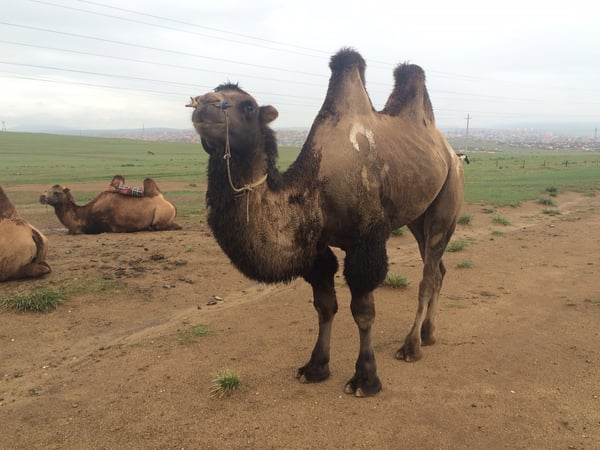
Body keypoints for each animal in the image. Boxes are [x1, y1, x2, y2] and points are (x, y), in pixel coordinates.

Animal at [39, 178, 180, 234]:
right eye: (48, 189)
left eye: (56, 192)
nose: (41, 196)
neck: (82, 215)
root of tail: (170, 204)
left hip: (161, 216)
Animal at [186, 47, 464, 396]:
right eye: (209, 94)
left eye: (248, 106)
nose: (204, 104)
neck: (315, 188)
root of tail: (451, 151)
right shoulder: (317, 250)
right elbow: (324, 306)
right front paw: (315, 367)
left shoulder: (366, 241)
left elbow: (363, 312)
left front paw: (365, 379)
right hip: (417, 216)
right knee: (439, 269)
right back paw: (428, 334)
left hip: (448, 198)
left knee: (428, 275)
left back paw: (410, 346)